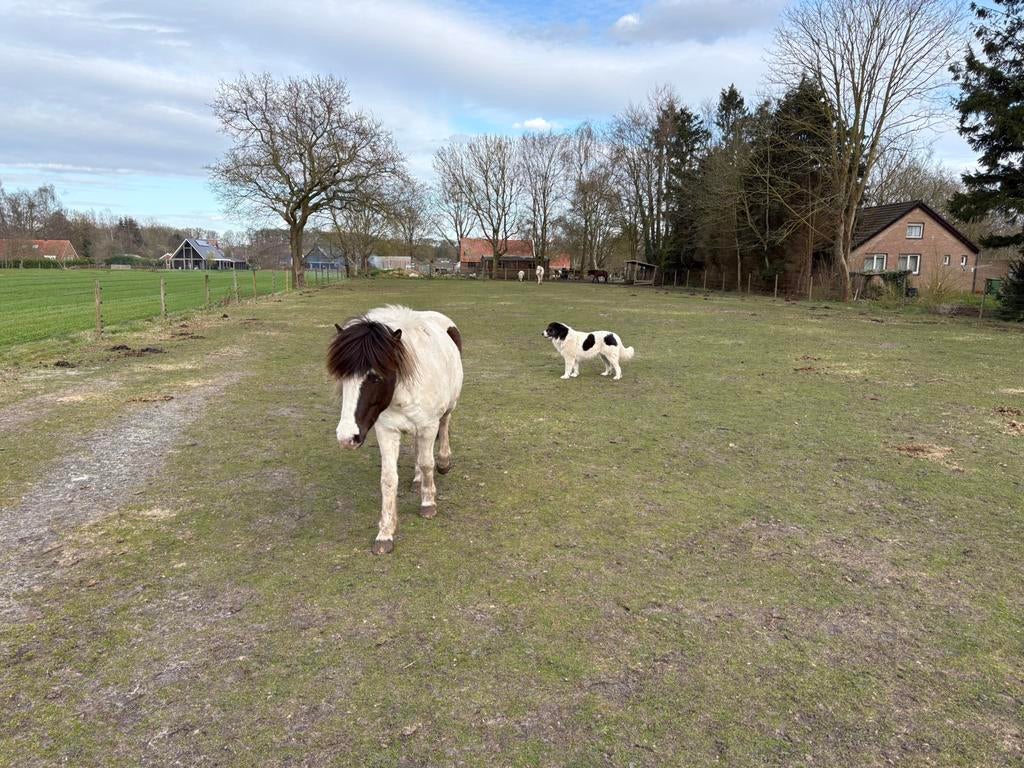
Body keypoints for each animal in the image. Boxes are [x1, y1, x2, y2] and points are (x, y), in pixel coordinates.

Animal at [327, 305, 463, 554]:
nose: (346, 437)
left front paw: (428, 504)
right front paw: (385, 533)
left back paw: (443, 462)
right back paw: (417, 480)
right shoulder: (387, 431)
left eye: (375, 377)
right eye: (343, 378)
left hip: (449, 406)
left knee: (444, 426)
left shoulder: (428, 426)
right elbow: (389, 479)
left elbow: (428, 463)